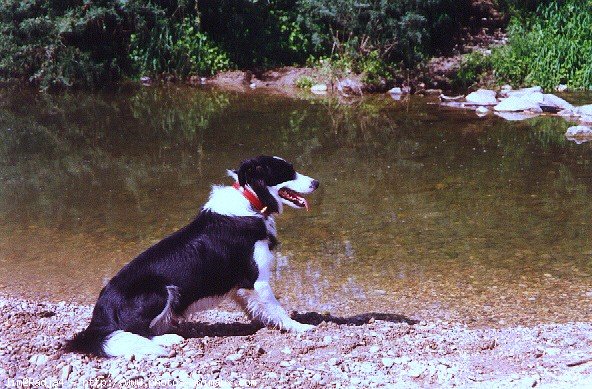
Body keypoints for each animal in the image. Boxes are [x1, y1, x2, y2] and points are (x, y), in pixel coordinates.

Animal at [66, 155, 320, 358]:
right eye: (287, 171)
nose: (317, 183)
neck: (252, 199)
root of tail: (99, 316)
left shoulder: (243, 286)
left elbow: (256, 307)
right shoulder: (257, 279)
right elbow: (277, 308)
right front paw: (299, 327)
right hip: (159, 291)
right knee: (135, 332)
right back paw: (168, 339)